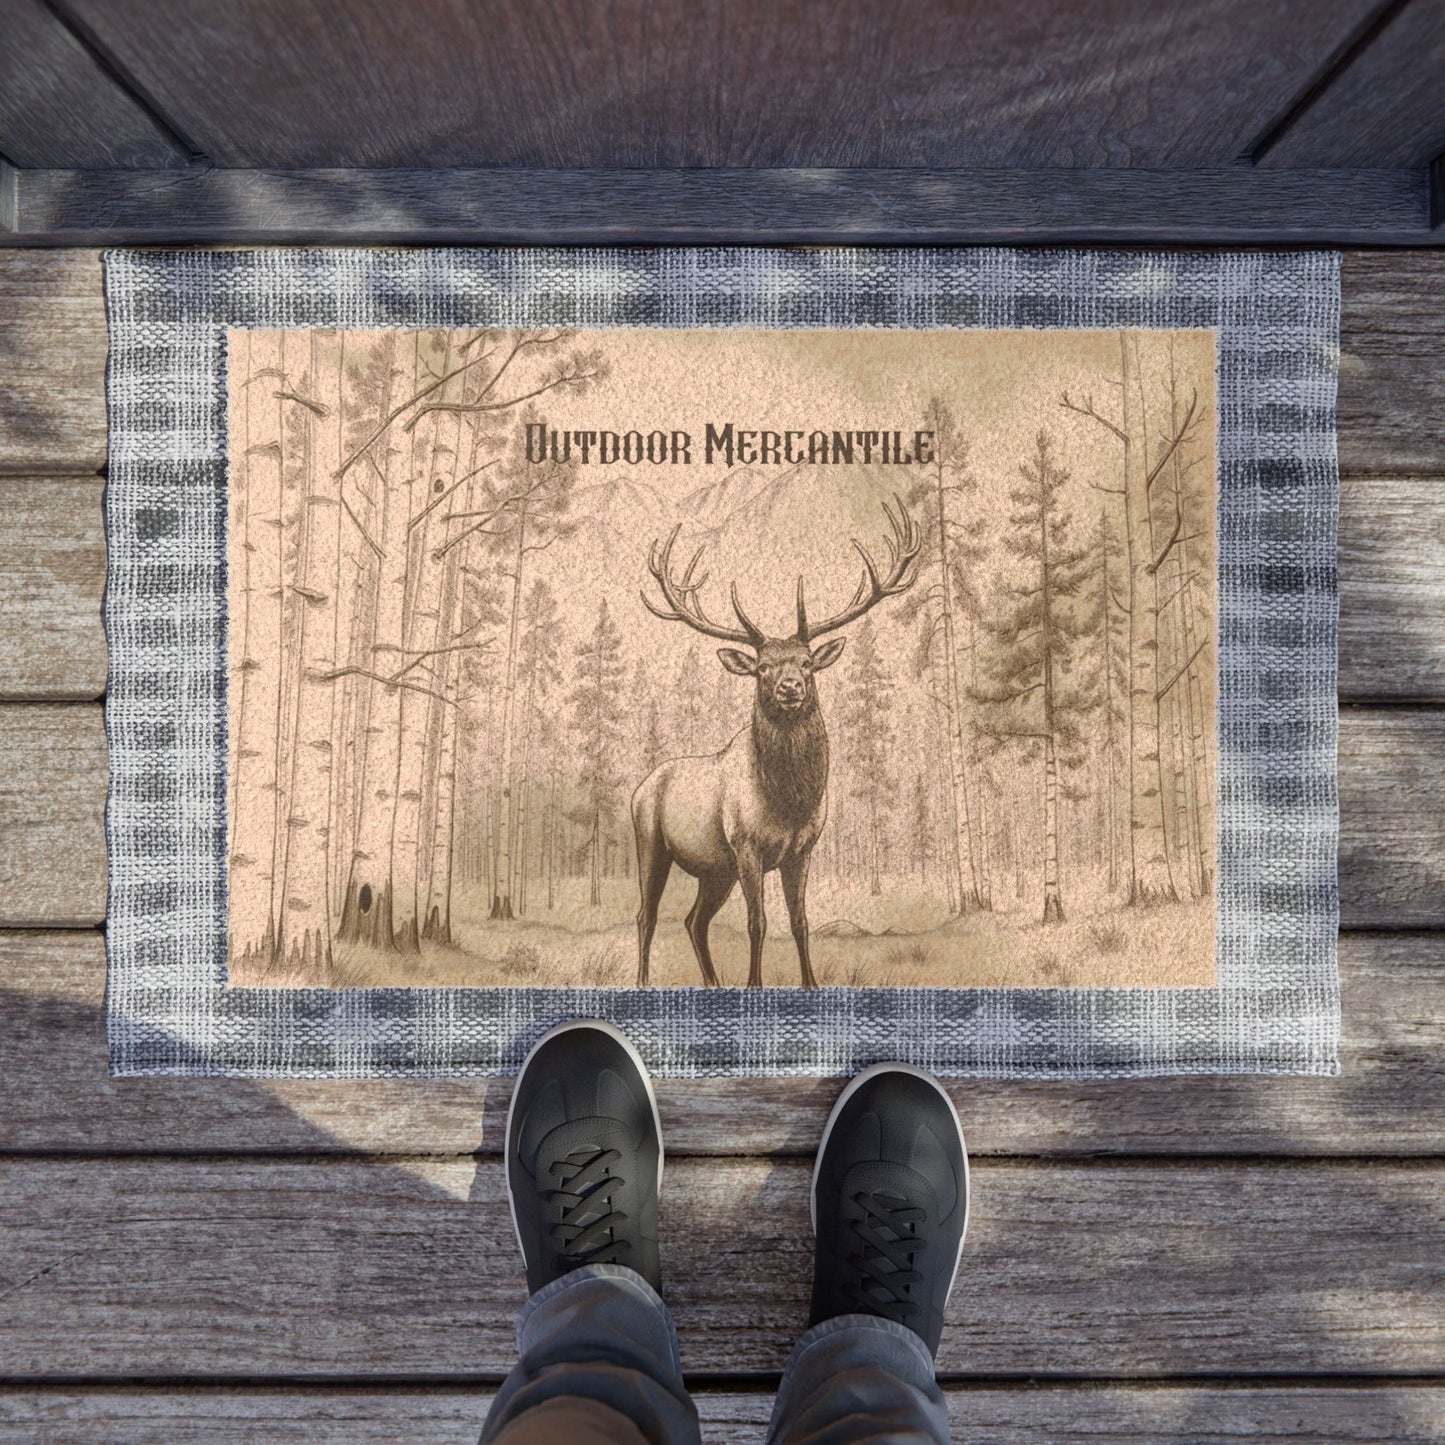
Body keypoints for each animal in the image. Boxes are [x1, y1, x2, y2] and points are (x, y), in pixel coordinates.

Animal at [631, 498, 922, 988]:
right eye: (762, 667)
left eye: (806, 663)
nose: (790, 687)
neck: (789, 801)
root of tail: (640, 787)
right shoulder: (747, 846)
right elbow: (758, 922)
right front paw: (754, 984)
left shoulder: (801, 850)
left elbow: (799, 921)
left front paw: (810, 983)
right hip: (652, 843)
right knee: (647, 916)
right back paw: (643, 982)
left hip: (716, 870)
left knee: (694, 919)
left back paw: (713, 983)